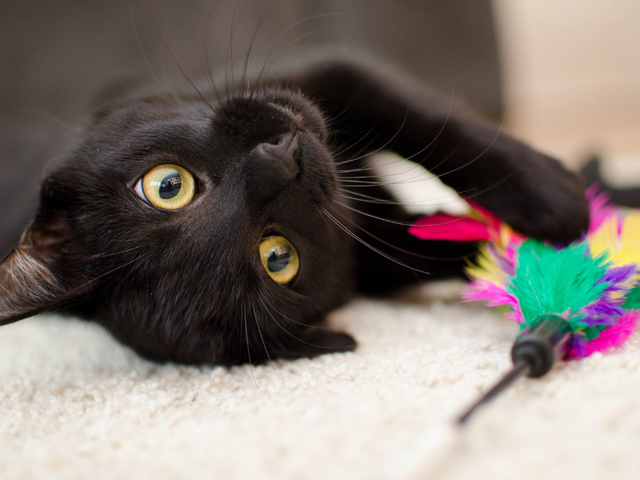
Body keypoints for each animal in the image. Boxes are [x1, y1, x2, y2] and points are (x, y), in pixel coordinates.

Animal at [0, 53, 592, 364]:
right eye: (277, 258)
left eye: (168, 186)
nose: (281, 161)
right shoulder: (377, 259)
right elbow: (451, 244)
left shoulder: (332, 71)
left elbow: (436, 126)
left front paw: (558, 201)